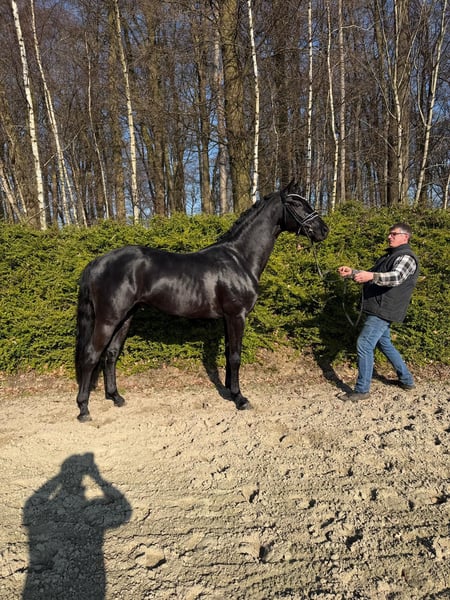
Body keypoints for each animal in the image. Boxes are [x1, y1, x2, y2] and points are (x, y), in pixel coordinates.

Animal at [75, 180, 329, 421]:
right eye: (296, 203)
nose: (323, 230)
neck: (239, 259)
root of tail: (97, 262)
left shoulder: (227, 318)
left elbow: (228, 354)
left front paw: (230, 391)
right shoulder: (237, 316)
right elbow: (236, 356)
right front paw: (241, 399)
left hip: (126, 317)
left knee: (110, 354)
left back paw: (116, 397)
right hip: (108, 319)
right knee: (91, 355)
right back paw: (84, 409)